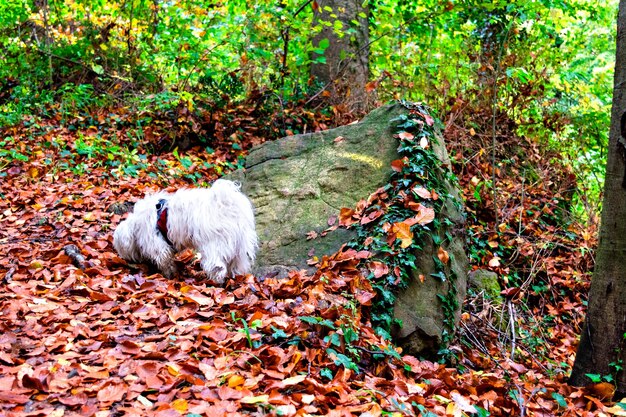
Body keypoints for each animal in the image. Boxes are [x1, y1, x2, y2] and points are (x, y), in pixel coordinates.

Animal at [112, 179, 256, 282]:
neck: (136, 226)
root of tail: (227, 205)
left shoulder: (158, 246)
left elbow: (165, 262)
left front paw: (169, 275)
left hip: (213, 244)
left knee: (217, 267)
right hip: (240, 247)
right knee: (237, 266)